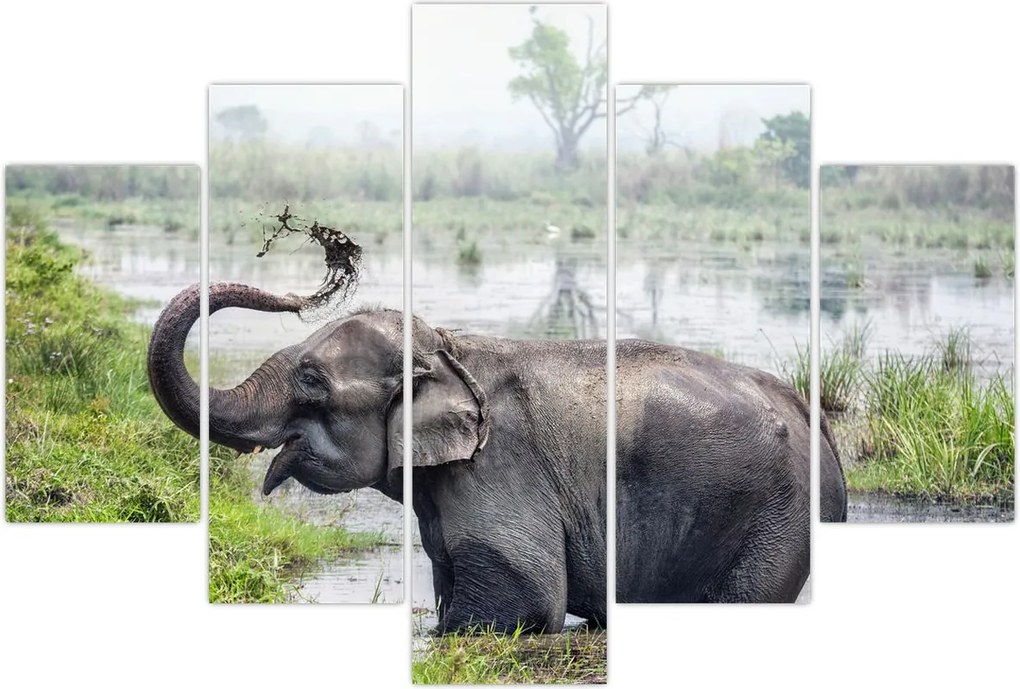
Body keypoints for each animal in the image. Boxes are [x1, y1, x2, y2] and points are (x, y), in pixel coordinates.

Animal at [148, 282, 847, 631]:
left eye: (312, 380)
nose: (297, 296)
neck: (448, 346)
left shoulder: (498, 466)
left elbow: (526, 598)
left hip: (778, 520)